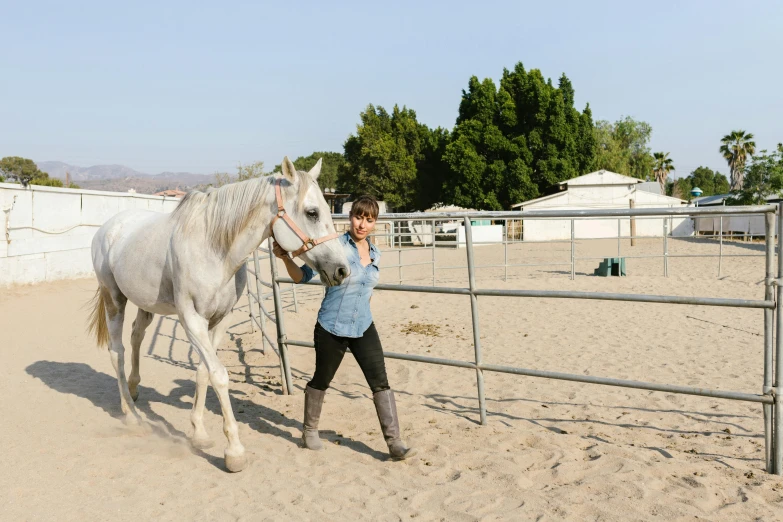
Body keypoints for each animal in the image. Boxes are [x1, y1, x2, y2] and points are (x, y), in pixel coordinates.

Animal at [86, 156, 350, 470]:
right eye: (312, 212)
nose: (342, 270)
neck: (214, 249)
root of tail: (107, 228)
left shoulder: (220, 320)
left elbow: (203, 372)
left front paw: (199, 433)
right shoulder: (192, 320)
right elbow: (219, 375)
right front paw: (234, 451)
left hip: (145, 303)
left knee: (137, 336)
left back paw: (135, 390)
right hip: (114, 299)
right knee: (117, 351)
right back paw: (131, 414)